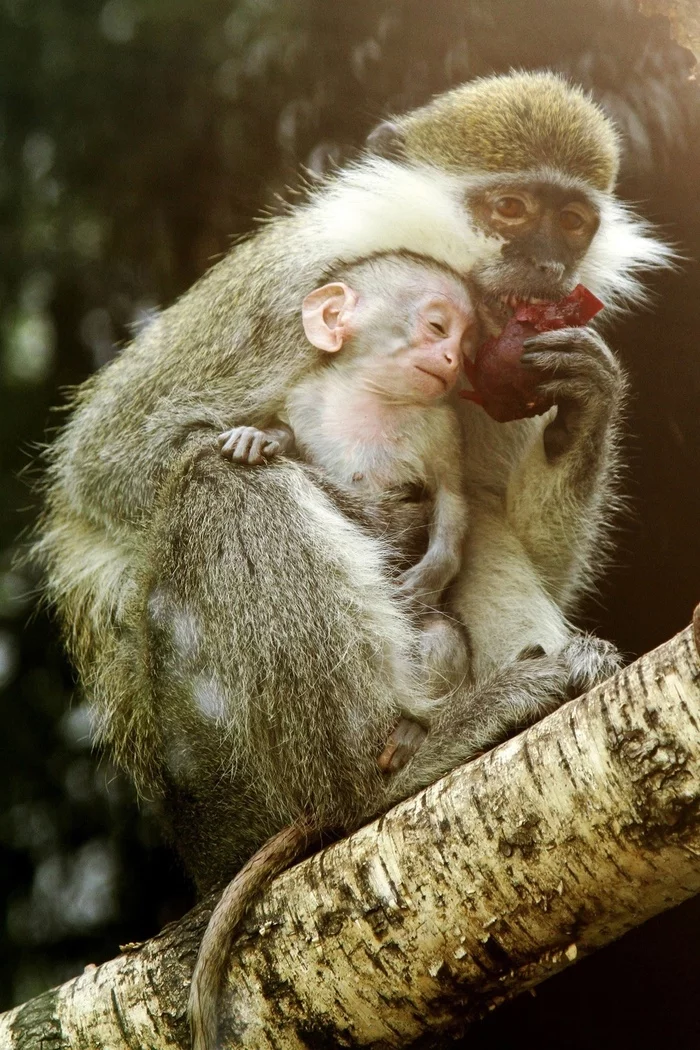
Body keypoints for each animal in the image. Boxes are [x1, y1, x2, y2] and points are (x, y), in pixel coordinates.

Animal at [35, 69, 671, 1045]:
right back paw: (379, 780)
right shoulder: (279, 291)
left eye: (571, 223)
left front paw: (590, 399)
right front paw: (278, 452)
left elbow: (508, 523)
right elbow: (108, 466)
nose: (547, 270)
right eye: (511, 208)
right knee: (218, 485)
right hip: (224, 776)